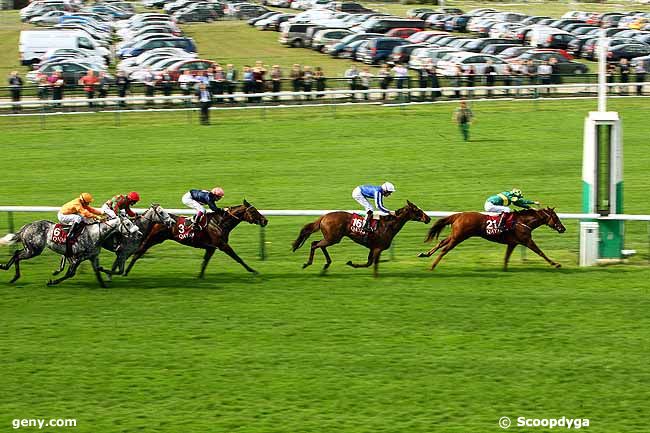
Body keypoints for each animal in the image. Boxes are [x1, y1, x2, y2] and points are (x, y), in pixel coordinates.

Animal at [0, 216, 138, 286]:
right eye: (127, 224)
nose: (138, 233)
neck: (94, 234)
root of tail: (26, 226)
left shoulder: (93, 256)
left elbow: (97, 272)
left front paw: (104, 284)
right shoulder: (78, 257)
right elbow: (70, 273)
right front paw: (52, 281)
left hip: (30, 248)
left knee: (16, 253)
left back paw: (8, 270)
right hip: (34, 250)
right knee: (18, 256)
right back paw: (12, 274)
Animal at [123, 199, 268, 276]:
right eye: (253, 211)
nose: (265, 221)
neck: (219, 222)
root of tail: (155, 219)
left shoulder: (211, 247)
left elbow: (205, 261)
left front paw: (200, 276)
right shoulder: (222, 245)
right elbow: (238, 258)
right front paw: (253, 270)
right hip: (152, 239)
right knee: (137, 253)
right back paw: (125, 271)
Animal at [292, 200, 428, 276]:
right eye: (417, 210)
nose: (428, 218)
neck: (388, 226)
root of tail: (324, 217)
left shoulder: (373, 248)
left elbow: (368, 263)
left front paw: (351, 263)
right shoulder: (378, 248)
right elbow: (373, 264)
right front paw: (376, 277)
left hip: (332, 238)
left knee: (318, 244)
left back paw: (326, 265)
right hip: (332, 238)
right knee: (314, 244)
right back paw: (308, 263)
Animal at [418, 207, 564, 270]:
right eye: (556, 218)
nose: (563, 229)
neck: (522, 222)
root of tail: (458, 215)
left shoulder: (513, 243)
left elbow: (506, 257)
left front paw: (504, 269)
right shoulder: (526, 240)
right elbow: (541, 252)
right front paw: (556, 264)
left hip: (455, 235)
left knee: (442, 243)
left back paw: (425, 254)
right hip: (459, 237)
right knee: (445, 250)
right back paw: (432, 266)